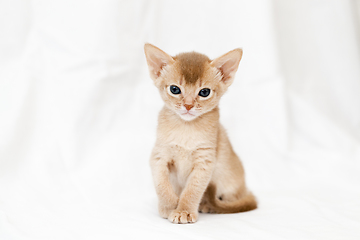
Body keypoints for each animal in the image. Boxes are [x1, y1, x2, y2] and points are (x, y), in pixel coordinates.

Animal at [143, 42, 256, 223]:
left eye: (204, 92)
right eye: (174, 89)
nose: (188, 105)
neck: (186, 129)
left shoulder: (205, 161)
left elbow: (192, 190)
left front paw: (184, 211)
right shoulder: (159, 157)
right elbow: (162, 185)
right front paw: (169, 206)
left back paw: (208, 205)